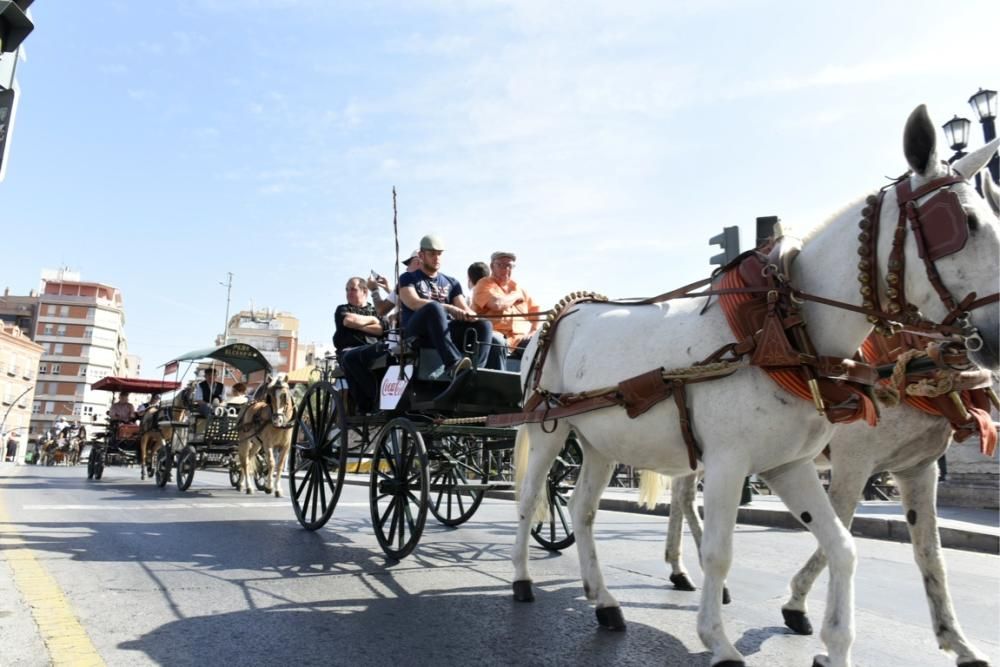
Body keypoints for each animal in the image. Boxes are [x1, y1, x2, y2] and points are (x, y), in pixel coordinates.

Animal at [512, 105, 996, 667]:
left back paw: (605, 600)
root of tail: (563, 311)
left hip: (600, 442)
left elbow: (850, 546)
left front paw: (836, 640)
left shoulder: (793, 464)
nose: (993, 338)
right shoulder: (739, 462)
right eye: (964, 224)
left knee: (583, 509)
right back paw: (523, 579)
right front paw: (719, 639)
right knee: (529, 500)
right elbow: (722, 552)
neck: (779, 333)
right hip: (547, 427)